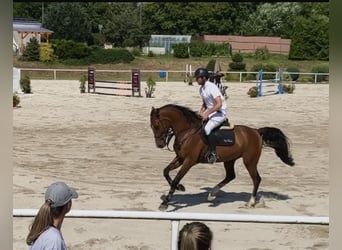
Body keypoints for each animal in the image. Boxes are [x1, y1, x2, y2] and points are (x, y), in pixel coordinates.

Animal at [150, 103, 294, 211]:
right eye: (152, 126)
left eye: (156, 125)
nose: (159, 145)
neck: (187, 132)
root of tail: (256, 132)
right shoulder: (180, 158)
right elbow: (166, 171)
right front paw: (180, 188)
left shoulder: (189, 161)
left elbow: (176, 178)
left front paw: (166, 202)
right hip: (230, 160)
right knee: (230, 176)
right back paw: (212, 194)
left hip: (250, 161)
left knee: (256, 179)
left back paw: (251, 202)